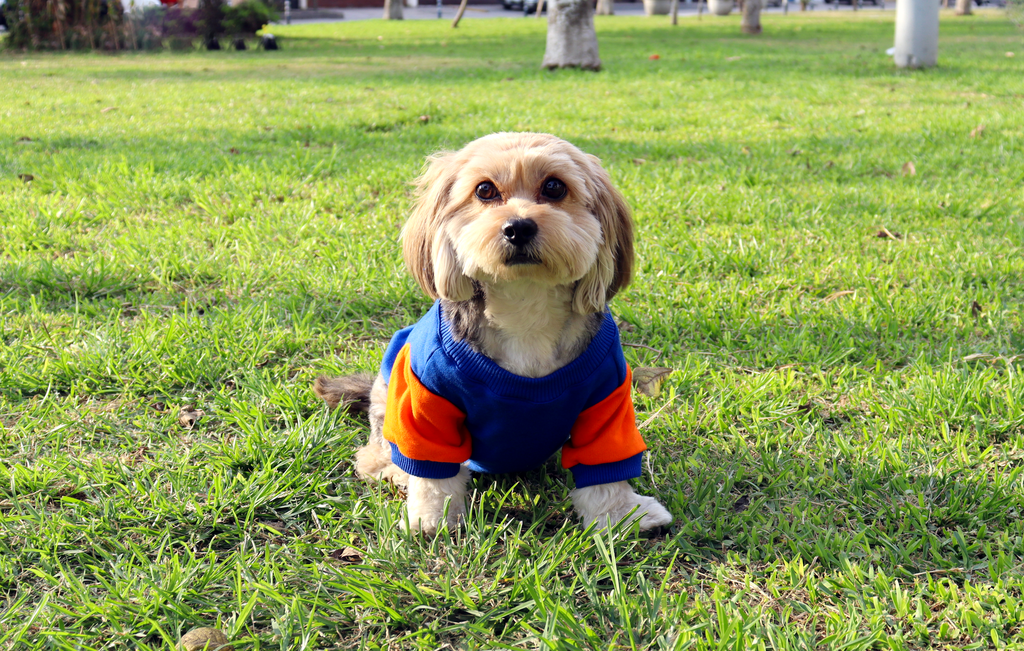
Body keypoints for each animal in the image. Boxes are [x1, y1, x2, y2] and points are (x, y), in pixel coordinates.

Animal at [315, 131, 675, 532]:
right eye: (484, 190)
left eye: (554, 186)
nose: (518, 227)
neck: (524, 305)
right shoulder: (427, 399)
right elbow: (433, 474)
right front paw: (431, 519)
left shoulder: (606, 398)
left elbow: (605, 467)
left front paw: (621, 515)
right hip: (389, 395)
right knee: (377, 451)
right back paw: (393, 470)